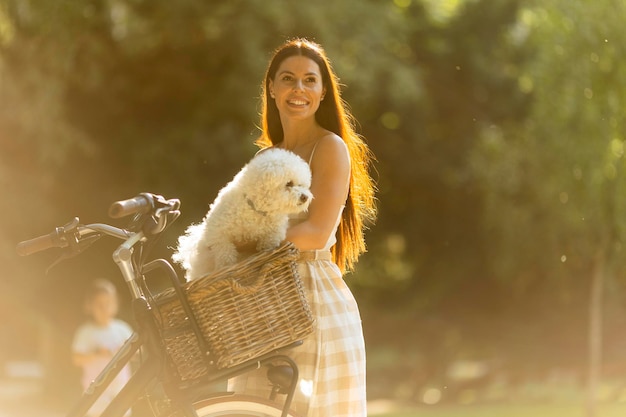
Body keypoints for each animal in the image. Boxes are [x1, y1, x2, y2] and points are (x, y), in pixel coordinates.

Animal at [172, 148, 310, 282]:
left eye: (302, 185)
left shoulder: (272, 235)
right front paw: (227, 268)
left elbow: (267, 245)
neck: (257, 210)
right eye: (289, 183)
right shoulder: (218, 234)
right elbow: (225, 254)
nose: (305, 197)